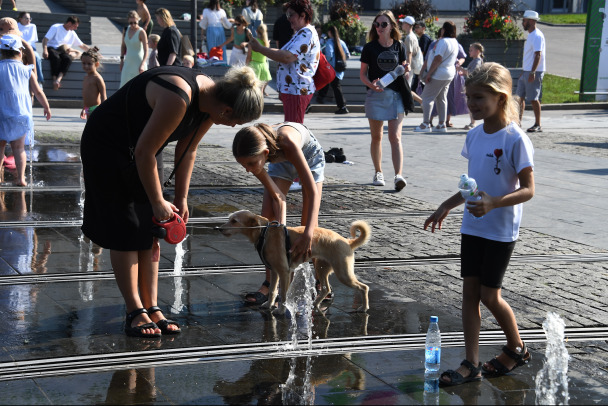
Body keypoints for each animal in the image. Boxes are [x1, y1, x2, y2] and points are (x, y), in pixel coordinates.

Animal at [220, 209, 370, 314]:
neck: (264, 233)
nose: (219, 228)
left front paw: (280, 310)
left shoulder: (284, 272)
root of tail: (348, 242)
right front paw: (268, 305)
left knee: (364, 287)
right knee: (326, 288)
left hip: (343, 273)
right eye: (229, 219)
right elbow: (272, 291)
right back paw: (315, 304)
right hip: (321, 268)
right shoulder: (274, 271)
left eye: (234, 221)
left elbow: (283, 295)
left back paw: (364, 308)